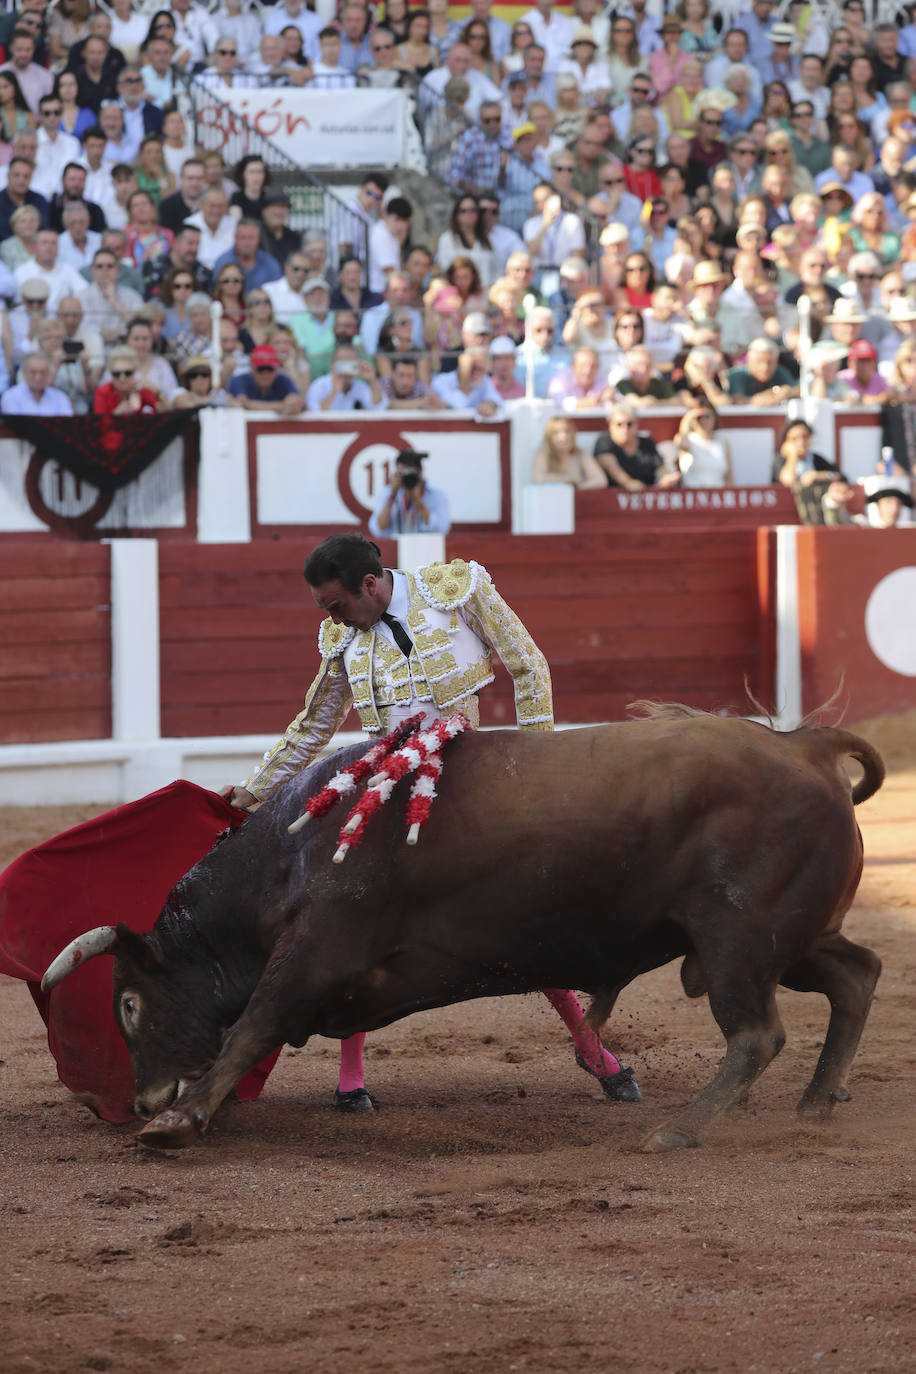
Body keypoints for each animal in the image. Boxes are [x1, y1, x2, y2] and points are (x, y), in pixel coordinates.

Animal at [39, 708, 884, 1148]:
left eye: (128, 1004)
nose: (140, 1100)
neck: (289, 850)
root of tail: (804, 744)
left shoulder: (316, 951)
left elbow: (252, 1023)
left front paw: (179, 1120)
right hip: (783, 938)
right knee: (856, 973)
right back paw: (816, 1101)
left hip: (738, 937)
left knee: (758, 1032)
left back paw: (680, 1130)